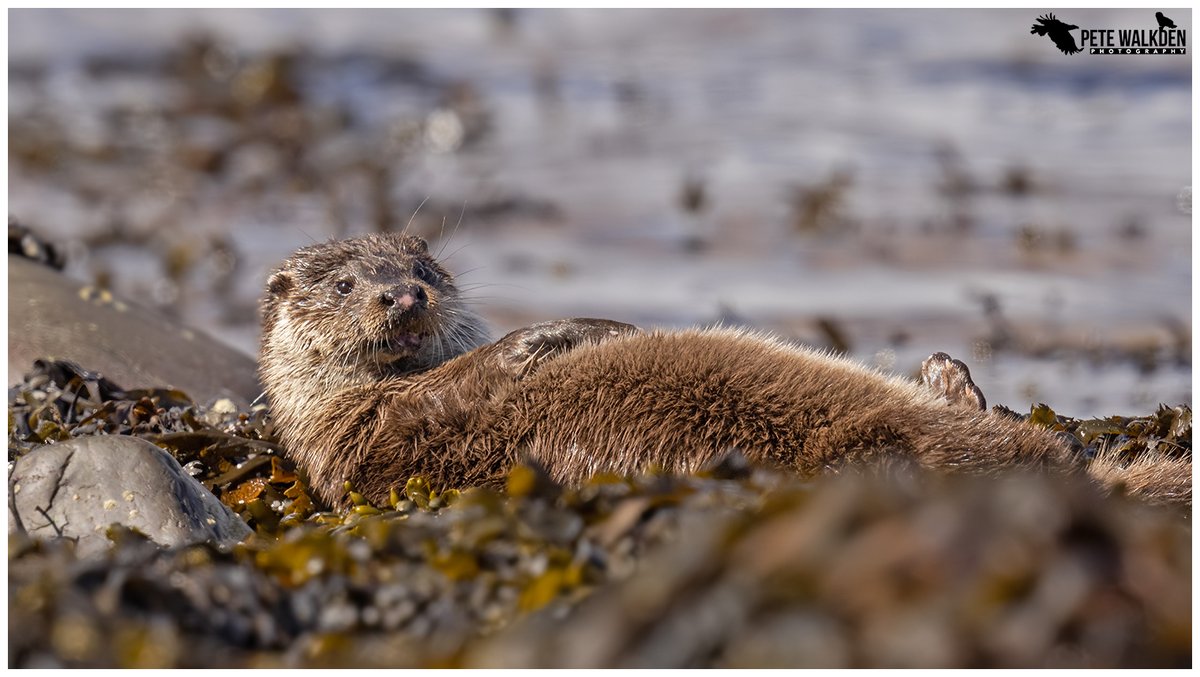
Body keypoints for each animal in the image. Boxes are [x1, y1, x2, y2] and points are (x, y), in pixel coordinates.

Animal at [260, 232, 1190, 508]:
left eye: (427, 265)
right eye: (345, 284)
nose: (404, 294)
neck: (329, 419)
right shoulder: (371, 436)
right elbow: (471, 379)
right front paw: (566, 332)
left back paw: (947, 371)